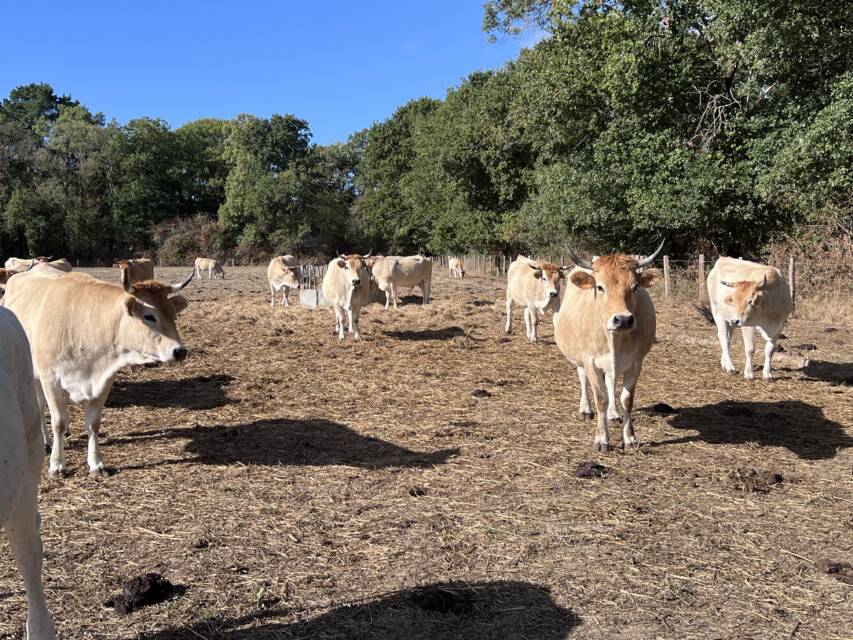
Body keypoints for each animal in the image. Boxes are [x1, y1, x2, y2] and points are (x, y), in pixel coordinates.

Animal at [3, 267, 193, 477]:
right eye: (149, 316)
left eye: (174, 316)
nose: (180, 351)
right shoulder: (50, 380)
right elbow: (59, 422)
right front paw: (57, 465)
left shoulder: (104, 381)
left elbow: (93, 424)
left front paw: (96, 464)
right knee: (40, 406)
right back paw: (45, 441)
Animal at [555, 241, 664, 452]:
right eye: (600, 287)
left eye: (635, 286)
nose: (623, 319)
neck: (614, 339)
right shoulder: (590, 361)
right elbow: (601, 398)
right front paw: (601, 439)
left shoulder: (636, 362)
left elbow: (626, 399)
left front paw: (629, 438)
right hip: (580, 359)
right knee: (583, 379)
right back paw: (585, 410)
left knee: (611, 382)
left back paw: (613, 414)